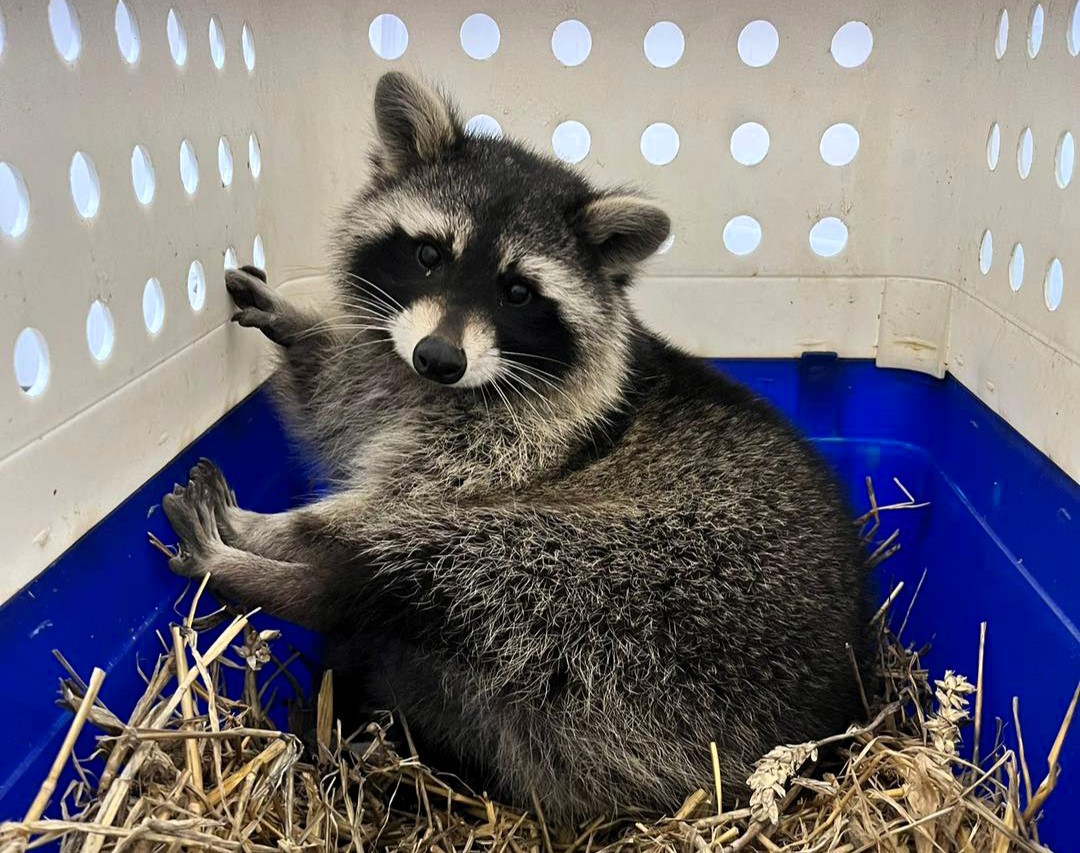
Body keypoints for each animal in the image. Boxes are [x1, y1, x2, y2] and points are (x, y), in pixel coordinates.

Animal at [164, 73, 872, 829]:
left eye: (518, 291)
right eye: (429, 255)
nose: (438, 357)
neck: (429, 387)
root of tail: (834, 710)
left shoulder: (522, 446)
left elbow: (377, 507)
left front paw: (285, 529)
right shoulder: (380, 373)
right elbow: (331, 401)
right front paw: (300, 325)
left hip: (651, 578)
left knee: (415, 573)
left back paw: (262, 565)